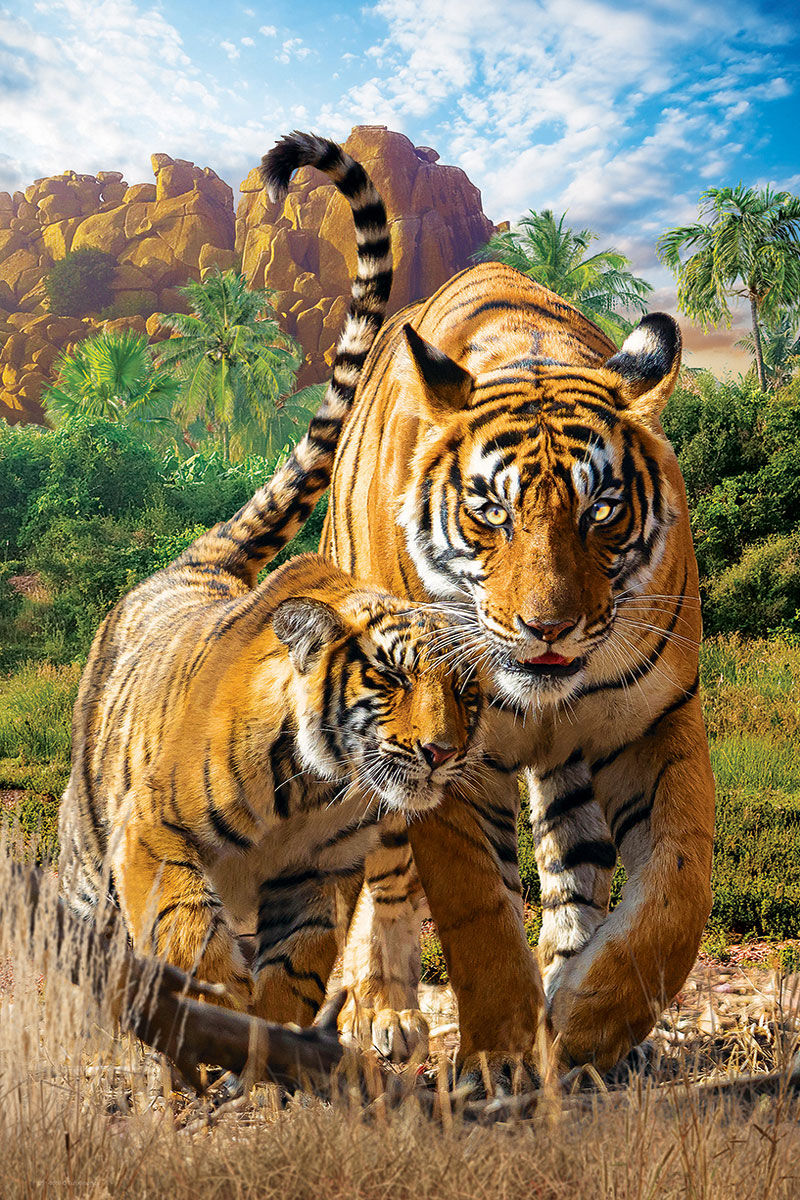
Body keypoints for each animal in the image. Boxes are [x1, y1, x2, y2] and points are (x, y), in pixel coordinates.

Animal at [57, 132, 484, 1025]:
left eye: (468, 693)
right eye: (391, 677)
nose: (440, 753)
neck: (319, 791)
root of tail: (196, 563)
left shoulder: (321, 876)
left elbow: (298, 965)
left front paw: (270, 1030)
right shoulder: (152, 832)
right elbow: (187, 928)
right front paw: (211, 1005)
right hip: (87, 843)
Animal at [268, 144, 712, 1080]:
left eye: (602, 511)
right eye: (490, 512)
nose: (547, 628)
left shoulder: (657, 720)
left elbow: (677, 889)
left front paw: (589, 1023)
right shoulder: (443, 757)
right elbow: (477, 912)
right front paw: (503, 1060)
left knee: (575, 865)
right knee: (386, 878)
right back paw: (387, 1012)